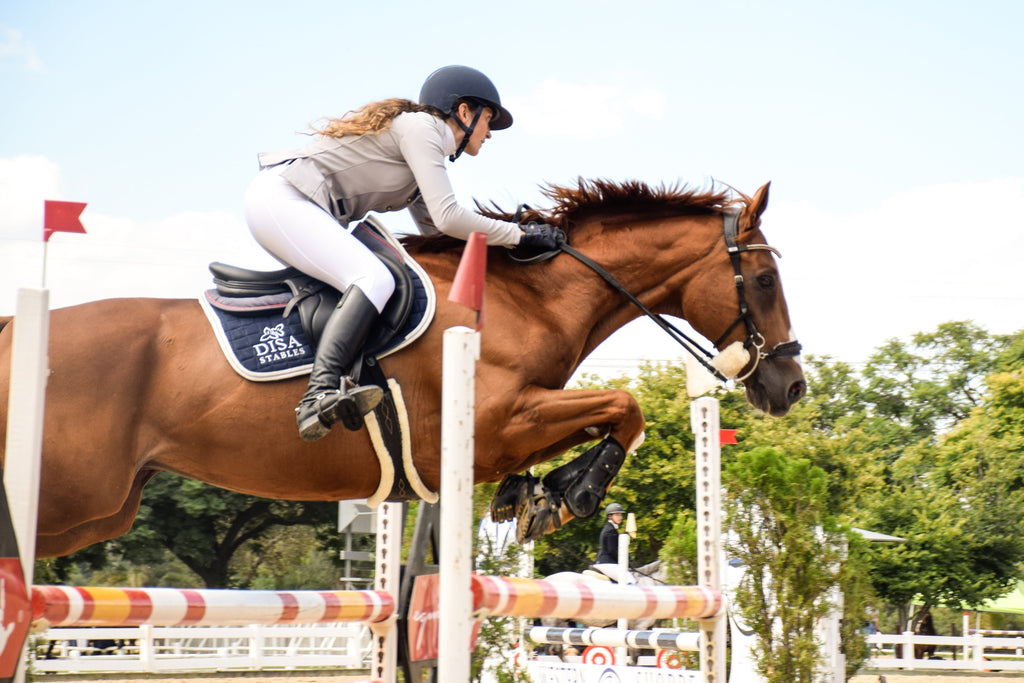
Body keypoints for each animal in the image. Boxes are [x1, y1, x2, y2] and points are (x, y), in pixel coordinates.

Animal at [0, 179, 806, 557]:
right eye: (766, 279)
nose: (790, 387)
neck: (530, 298)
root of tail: (14, 332)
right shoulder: (495, 421)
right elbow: (625, 405)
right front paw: (570, 492)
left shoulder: (506, 431)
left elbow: (608, 414)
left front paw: (539, 494)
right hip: (69, 496)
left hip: (97, 509)